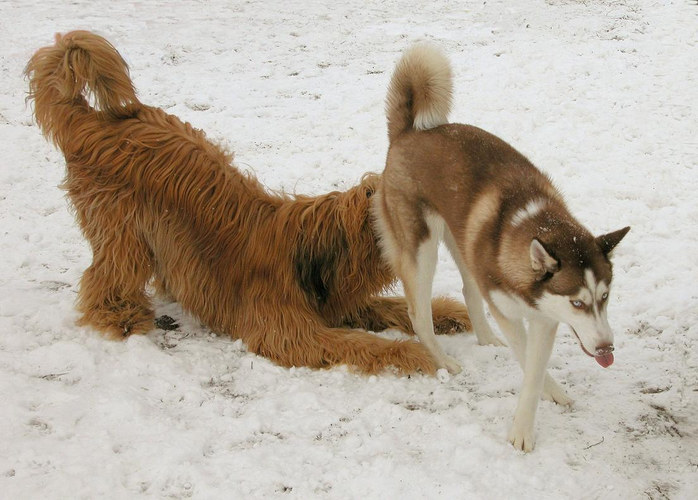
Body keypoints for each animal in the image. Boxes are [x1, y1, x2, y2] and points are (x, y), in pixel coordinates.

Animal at [24, 31, 470, 374]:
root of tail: (89, 121)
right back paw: (121, 316)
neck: (312, 251)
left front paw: (449, 314)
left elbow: (388, 307)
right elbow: (359, 344)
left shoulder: (335, 304)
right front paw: (413, 353)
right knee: (108, 274)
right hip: (120, 227)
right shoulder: (289, 330)